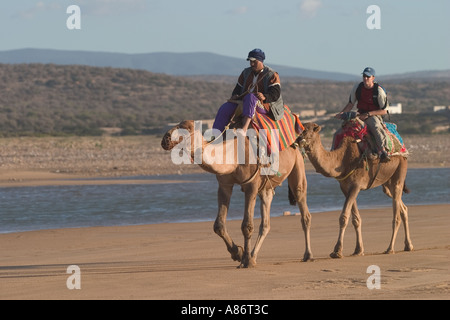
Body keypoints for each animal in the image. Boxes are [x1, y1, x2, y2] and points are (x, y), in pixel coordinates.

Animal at [162, 120, 312, 268]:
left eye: (187, 128)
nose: (166, 139)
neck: (233, 156)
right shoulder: (224, 185)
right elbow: (219, 225)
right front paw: (238, 254)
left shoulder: (251, 185)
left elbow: (247, 226)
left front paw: (246, 261)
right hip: (266, 188)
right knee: (265, 223)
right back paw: (254, 256)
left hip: (297, 164)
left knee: (303, 208)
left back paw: (307, 255)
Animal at [298, 121, 414, 258]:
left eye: (306, 130)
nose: (298, 139)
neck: (341, 159)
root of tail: (403, 148)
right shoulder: (345, 187)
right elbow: (356, 219)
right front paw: (358, 250)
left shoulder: (356, 185)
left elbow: (344, 217)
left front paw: (337, 250)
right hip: (387, 184)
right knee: (403, 208)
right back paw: (408, 245)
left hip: (400, 170)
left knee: (396, 213)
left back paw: (390, 248)